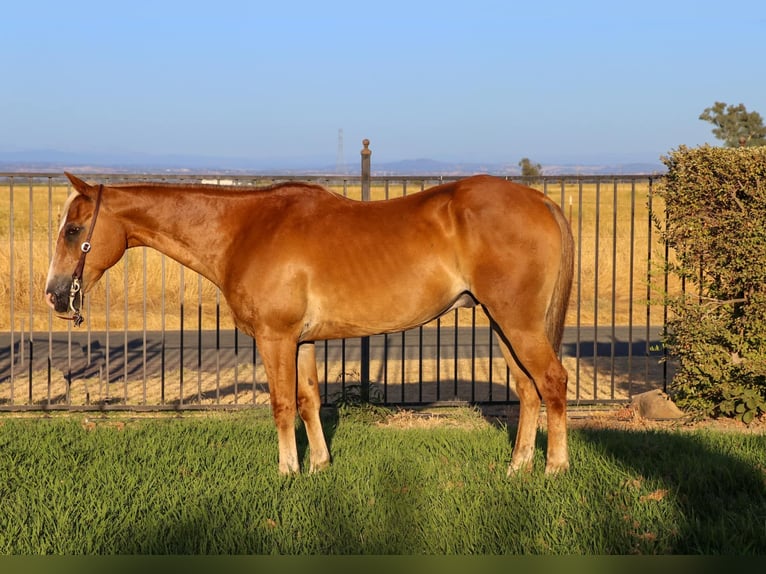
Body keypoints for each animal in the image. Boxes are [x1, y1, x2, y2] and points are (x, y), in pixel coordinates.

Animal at [45, 172, 574, 475]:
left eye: (74, 230)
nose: (54, 293)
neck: (244, 230)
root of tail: (540, 201)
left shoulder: (275, 338)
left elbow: (281, 405)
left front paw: (288, 471)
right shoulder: (301, 342)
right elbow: (308, 401)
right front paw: (320, 464)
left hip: (518, 324)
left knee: (551, 381)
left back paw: (554, 468)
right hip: (502, 324)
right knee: (528, 390)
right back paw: (518, 468)